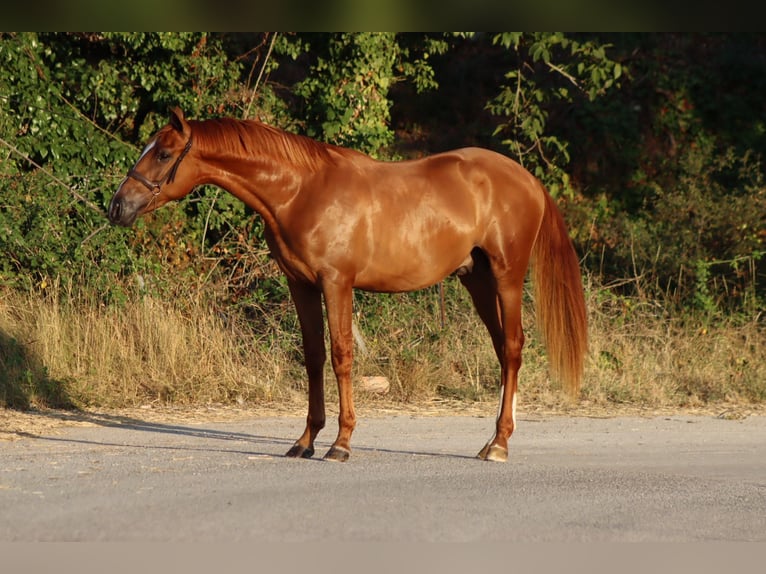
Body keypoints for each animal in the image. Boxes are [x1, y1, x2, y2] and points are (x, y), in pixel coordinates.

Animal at [108, 108, 588, 466]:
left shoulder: (336, 283)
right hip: (477, 279)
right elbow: (313, 358)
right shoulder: (300, 285)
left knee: (513, 348)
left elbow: (341, 356)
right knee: (502, 350)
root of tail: (528, 180)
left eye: (163, 153)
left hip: (507, 278)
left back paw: (500, 445)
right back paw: (490, 442)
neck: (301, 191)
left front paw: (340, 443)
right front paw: (305, 441)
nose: (118, 206)